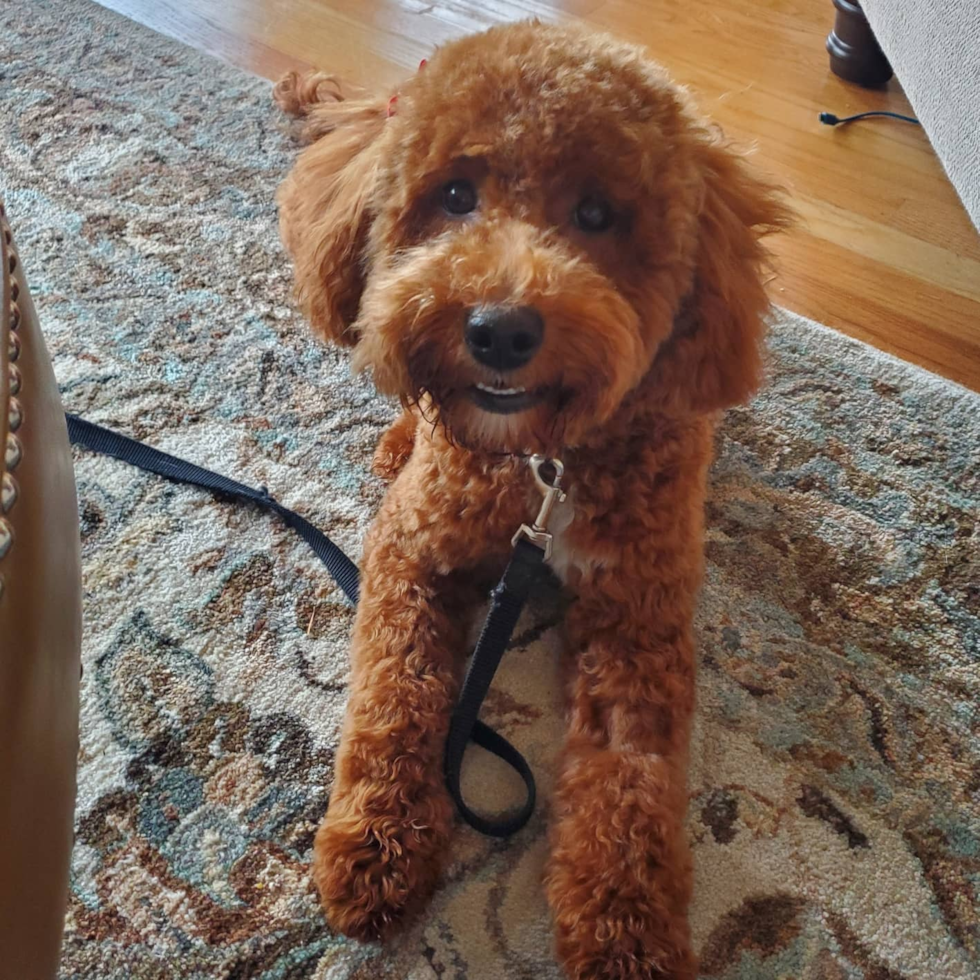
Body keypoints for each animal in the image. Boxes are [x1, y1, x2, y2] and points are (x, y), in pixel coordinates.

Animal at [274, 23, 788, 980]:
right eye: (455, 195)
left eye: (596, 215)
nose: (500, 329)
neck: (545, 463)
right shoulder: (411, 550)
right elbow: (393, 691)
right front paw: (378, 842)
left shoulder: (638, 618)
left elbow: (629, 784)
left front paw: (625, 930)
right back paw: (398, 438)